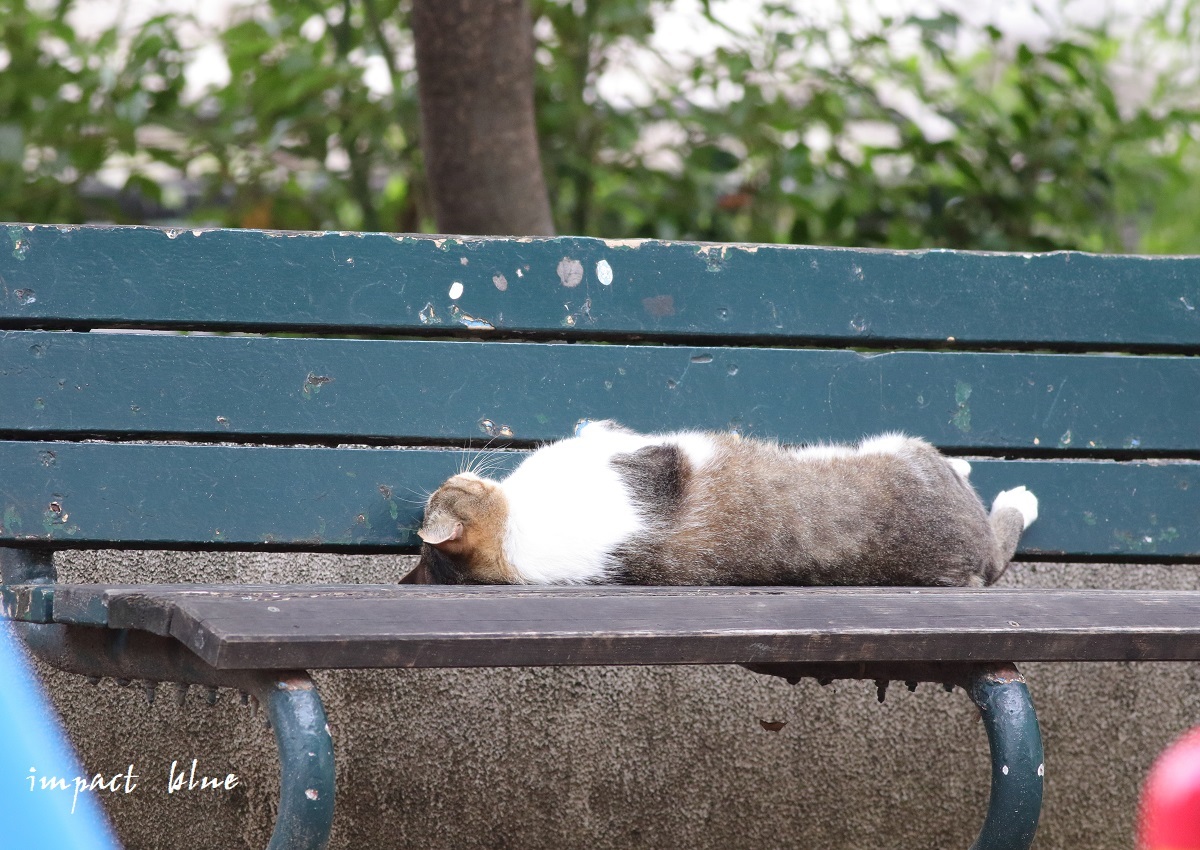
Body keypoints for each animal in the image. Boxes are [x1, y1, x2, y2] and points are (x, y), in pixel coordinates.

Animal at [405, 422, 1041, 588]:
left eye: (443, 490)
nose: (459, 469)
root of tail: (973, 564)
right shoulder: (655, 461)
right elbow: (611, 437)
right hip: (909, 452)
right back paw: (1014, 493)